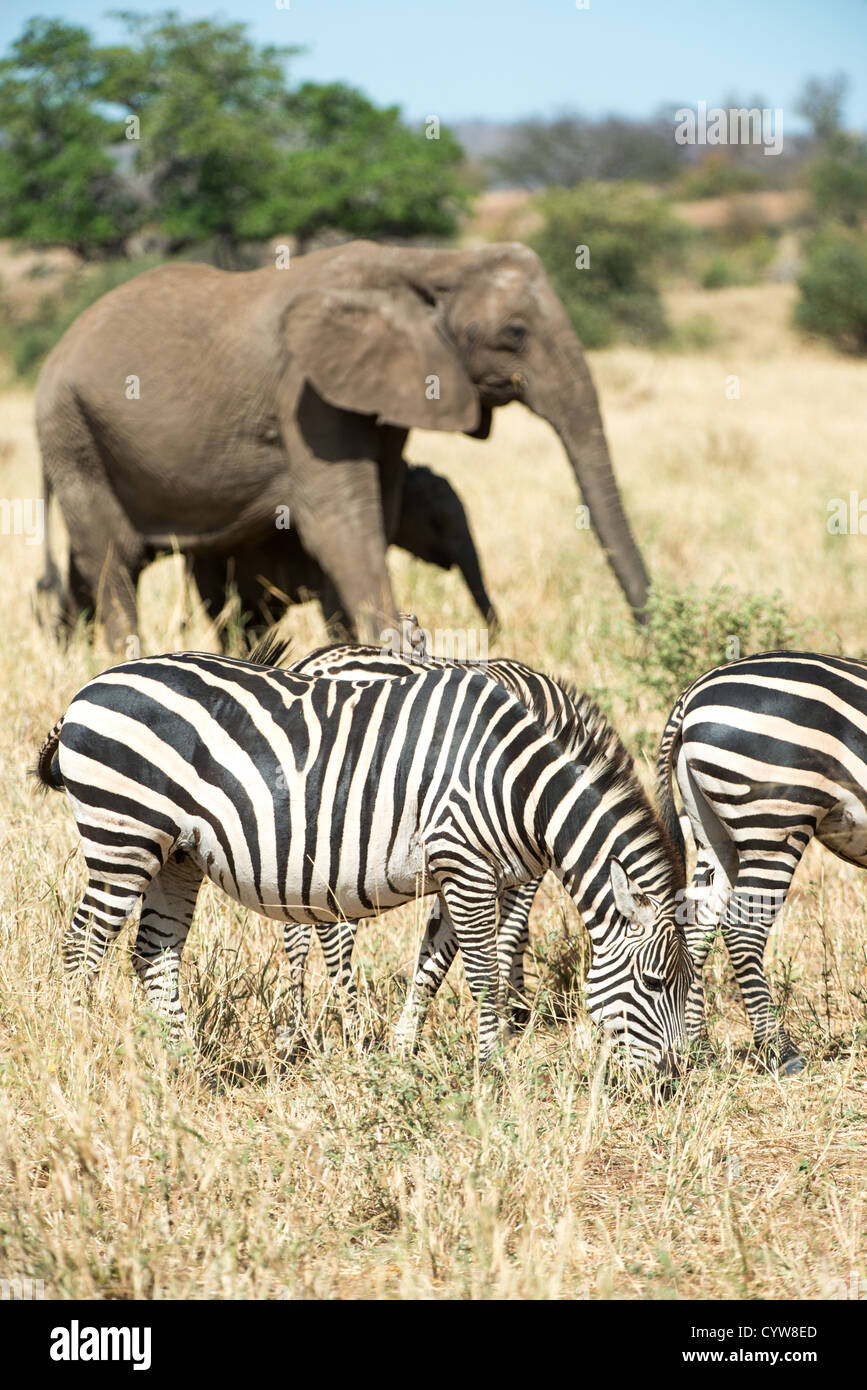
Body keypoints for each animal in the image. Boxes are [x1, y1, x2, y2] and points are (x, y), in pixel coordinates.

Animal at [36, 648, 691, 1071]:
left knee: (153, 953)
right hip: (123, 836)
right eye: (655, 982)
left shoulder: (459, 871)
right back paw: (77, 1047)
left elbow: (435, 960)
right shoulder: (465, 864)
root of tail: (88, 689)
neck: (516, 784)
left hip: (176, 854)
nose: (672, 1077)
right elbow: (482, 968)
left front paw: (405, 1051)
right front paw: (493, 1066)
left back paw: (185, 1061)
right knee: (82, 947)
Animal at [656, 649, 867, 1074]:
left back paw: (699, 1047)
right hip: (774, 820)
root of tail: (692, 691)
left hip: (713, 831)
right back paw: (782, 1052)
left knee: (698, 924)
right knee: (743, 927)